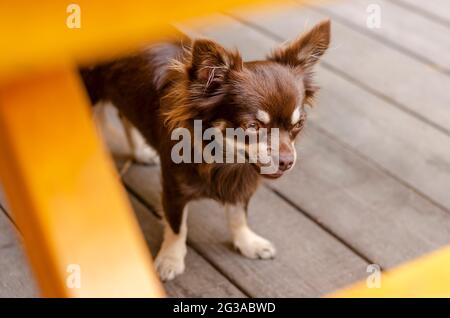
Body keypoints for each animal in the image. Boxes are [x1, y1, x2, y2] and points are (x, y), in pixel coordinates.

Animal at [80, 19, 330, 280]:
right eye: (253, 127)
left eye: (298, 125)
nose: (287, 160)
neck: (226, 158)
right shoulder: (174, 190)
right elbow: (177, 227)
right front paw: (170, 259)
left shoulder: (240, 184)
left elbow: (238, 215)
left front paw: (247, 242)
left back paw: (139, 152)